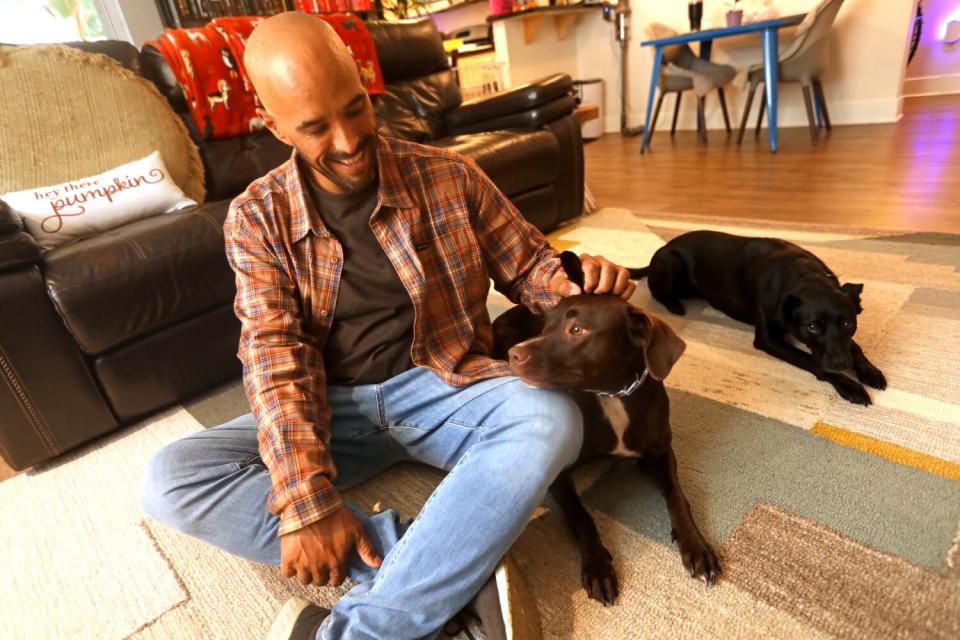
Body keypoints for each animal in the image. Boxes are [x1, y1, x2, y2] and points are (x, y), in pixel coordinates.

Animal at [496, 251, 720, 604]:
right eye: (546, 327)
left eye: (577, 329)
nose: (514, 354)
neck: (612, 395)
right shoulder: (559, 473)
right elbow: (582, 515)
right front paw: (598, 567)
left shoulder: (660, 453)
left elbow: (678, 498)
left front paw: (696, 546)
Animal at [632, 230, 884, 404]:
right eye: (812, 327)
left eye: (847, 323)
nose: (840, 365)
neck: (801, 275)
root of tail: (665, 246)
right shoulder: (768, 340)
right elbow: (812, 360)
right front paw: (850, 386)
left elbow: (855, 347)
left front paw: (870, 371)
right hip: (670, 265)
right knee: (658, 293)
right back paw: (675, 305)